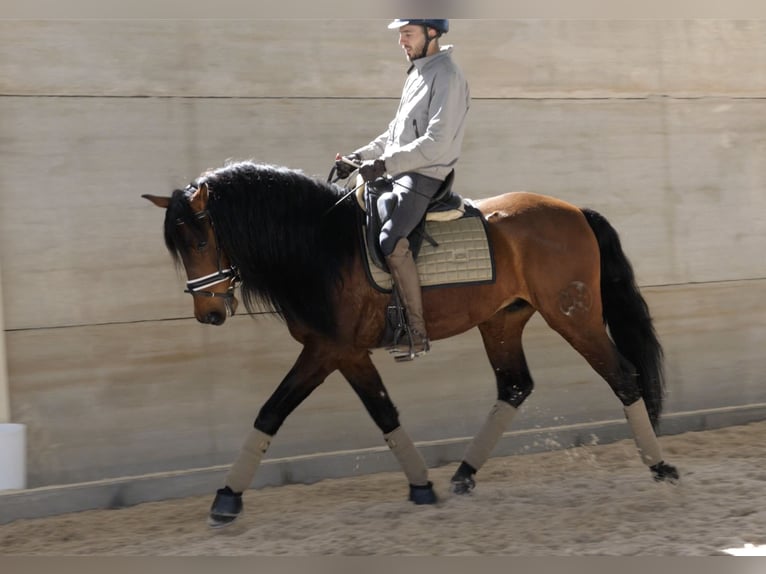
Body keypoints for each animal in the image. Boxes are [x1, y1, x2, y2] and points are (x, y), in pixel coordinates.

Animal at [142, 160, 680, 528]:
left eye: (200, 242)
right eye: (181, 248)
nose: (209, 314)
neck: (319, 248)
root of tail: (575, 212)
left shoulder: (326, 351)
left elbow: (272, 411)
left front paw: (225, 499)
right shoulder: (346, 352)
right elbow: (384, 413)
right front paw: (422, 486)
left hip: (574, 317)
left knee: (623, 376)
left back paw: (661, 467)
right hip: (502, 322)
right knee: (514, 387)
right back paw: (463, 474)